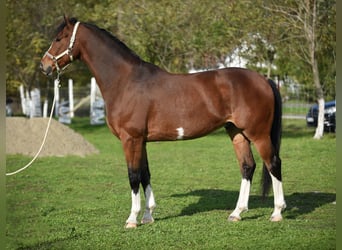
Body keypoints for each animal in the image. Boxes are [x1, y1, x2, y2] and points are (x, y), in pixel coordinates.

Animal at [40, 16, 286, 229]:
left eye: (60, 38)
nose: (44, 66)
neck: (125, 81)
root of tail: (263, 79)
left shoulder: (131, 139)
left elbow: (133, 176)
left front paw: (132, 219)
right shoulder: (141, 141)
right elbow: (145, 174)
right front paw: (148, 216)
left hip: (258, 134)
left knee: (273, 163)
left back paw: (277, 212)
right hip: (237, 133)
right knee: (247, 167)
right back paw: (236, 213)